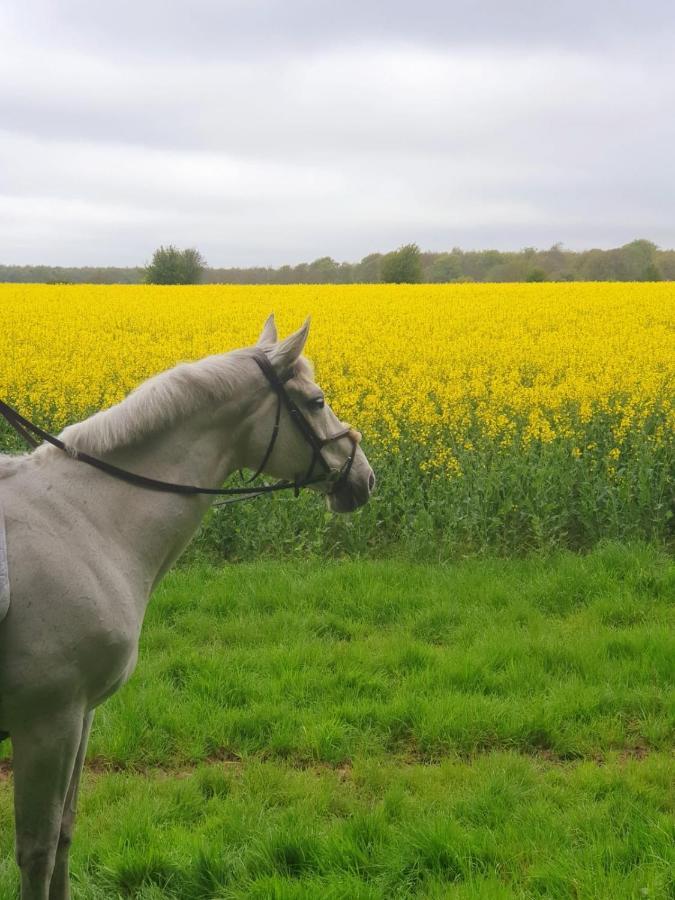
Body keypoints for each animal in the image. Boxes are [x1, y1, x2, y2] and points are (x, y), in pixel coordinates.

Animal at [0, 314, 374, 892]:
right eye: (316, 401)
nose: (363, 476)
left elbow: (63, 833)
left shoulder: (79, 715)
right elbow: (37, 850)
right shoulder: (46, 722)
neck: (87, 519)